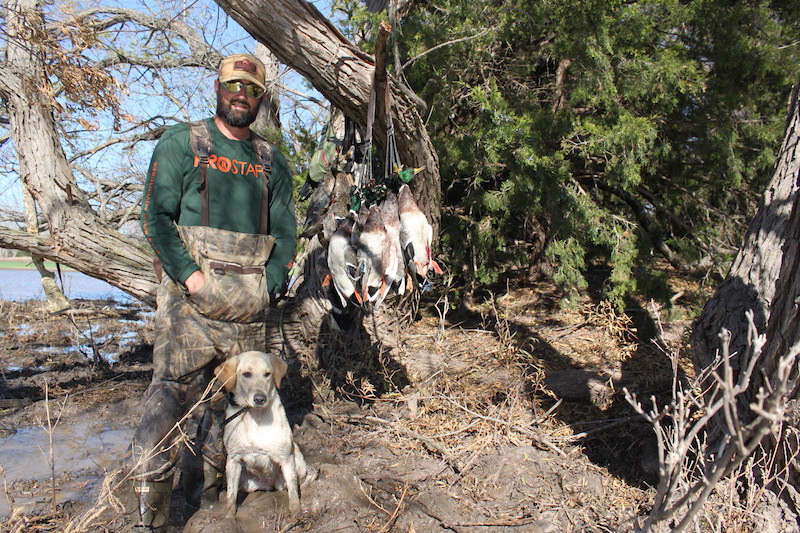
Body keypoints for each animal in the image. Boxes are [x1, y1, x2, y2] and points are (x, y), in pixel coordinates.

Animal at [212, 350, 310, 516]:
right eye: (246, 374)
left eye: (267, 374)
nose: (260, 399)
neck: (254, 416)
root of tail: (269, 484)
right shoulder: (233, 459)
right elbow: (231, 496)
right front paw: (229, 517)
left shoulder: (286, 458)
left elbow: (293, 493)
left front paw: (296, 513)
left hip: (296, 456)